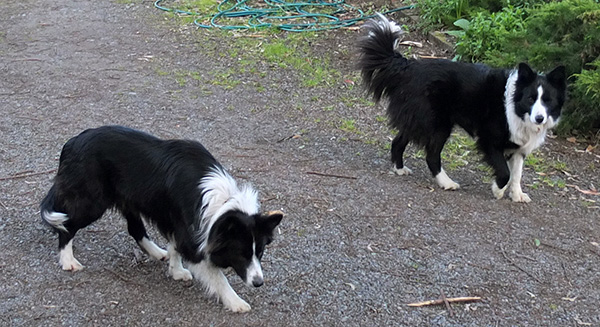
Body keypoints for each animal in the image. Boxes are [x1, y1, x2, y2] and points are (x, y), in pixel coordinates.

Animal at [40, 126, 284, 312]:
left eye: (260, 252)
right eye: (241, 253)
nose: (258, 283)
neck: (223, 203)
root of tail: (72, 142)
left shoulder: (181, 224)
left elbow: (175, 247)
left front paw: (175, 271)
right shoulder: (191, 235)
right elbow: (217, 277)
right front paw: (236, 302)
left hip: (128, 199)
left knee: (135, 229)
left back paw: (157, 252)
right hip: (92, 202)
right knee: (67, 225)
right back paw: (68, 261)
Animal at [356, 16, 568, 204]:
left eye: (547, 100)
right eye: (531, 98)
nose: (539, 118)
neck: (515, 107)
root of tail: (408, 66)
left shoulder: (519, 147)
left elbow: (517, 174)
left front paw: (517, 195)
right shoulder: (489, 140)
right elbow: (505, 172)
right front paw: (498, 190)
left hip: (419, 119)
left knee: (398, 141)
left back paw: (399, 169)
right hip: (437, 124)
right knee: (431, 155)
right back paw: (446, 182)